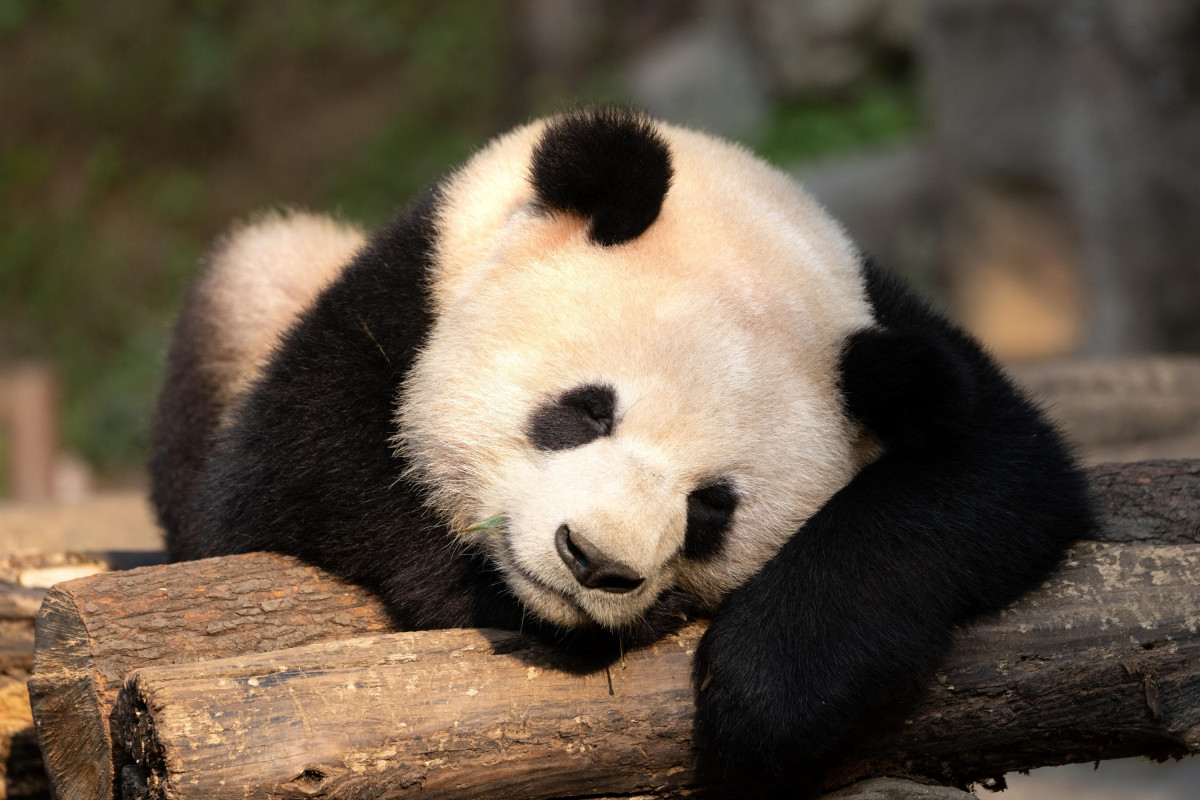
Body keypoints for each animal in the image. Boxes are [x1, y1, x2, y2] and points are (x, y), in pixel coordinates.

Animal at [151, 107, 1094, 773]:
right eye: (587, 411)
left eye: (712, 507)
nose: (594, 561)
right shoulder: (407, 284)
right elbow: (294, 471)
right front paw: (483, 590)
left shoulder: (899, 339)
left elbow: (998, 478)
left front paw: (771, 682)